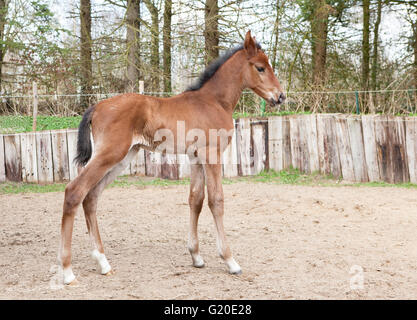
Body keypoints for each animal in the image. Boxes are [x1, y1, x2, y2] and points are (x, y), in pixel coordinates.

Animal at [58, 30, 284, 284]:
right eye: (260, 67)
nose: (280, 96)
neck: (214, 101)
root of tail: (96, 106)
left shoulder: (195, 157)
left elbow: (196, 200)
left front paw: (196, 257)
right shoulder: (211, 154)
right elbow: (216, 201)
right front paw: (230, 261)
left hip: (122, 159)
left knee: (91, 197)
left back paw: (103, 262)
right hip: (110, 154)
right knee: (75, 191)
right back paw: (67, 271)